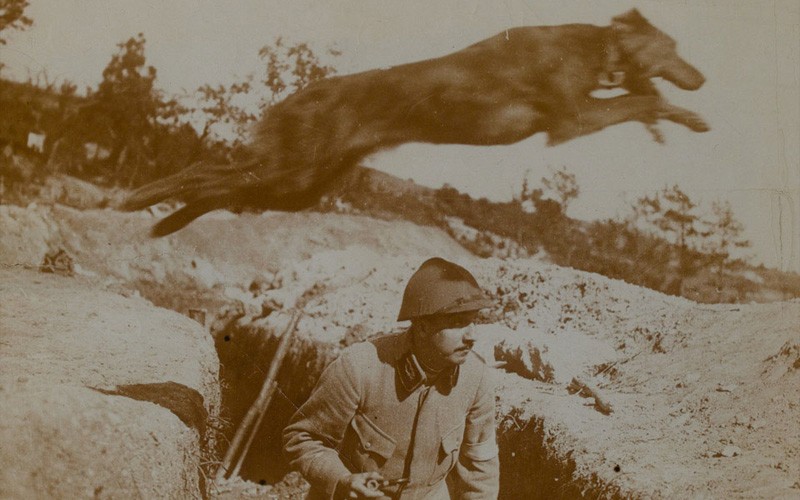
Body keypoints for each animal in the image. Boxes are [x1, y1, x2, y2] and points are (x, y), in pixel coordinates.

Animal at [123, 8, 708, 236]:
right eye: (675, 47)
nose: (702, 78)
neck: (592, 46)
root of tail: (299, 96)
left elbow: (642, 98)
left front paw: (681, 115)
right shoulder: (572, 118)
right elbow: (640, 102)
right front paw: (685, 114)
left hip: (297, 187)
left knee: (220, 189)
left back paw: (163, 223)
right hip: (287, 169)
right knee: (204, 170)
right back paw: (136, 200)